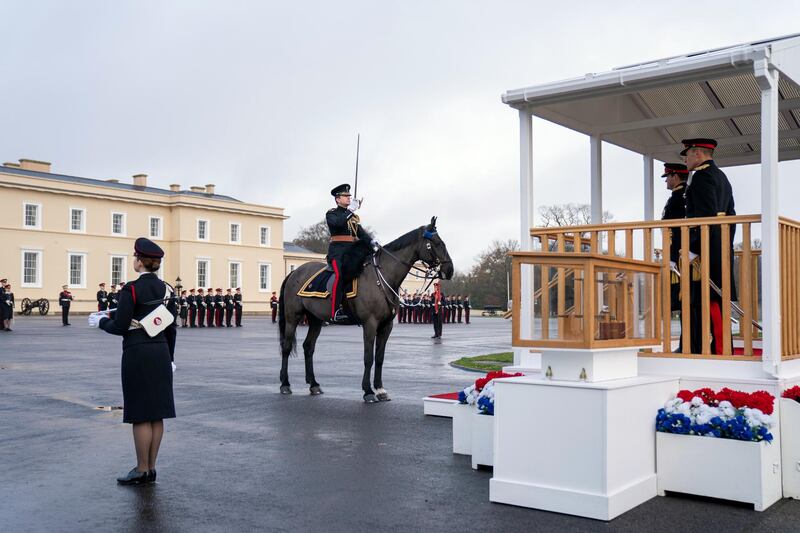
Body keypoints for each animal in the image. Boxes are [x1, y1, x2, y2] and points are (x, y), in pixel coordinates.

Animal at [278, 216, 454, 400]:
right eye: (435, 243)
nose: (449, 270)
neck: (383, 279)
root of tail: (294, 272)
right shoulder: (370, 324)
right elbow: (368, 357)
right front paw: (368, 391)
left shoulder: (386, 326)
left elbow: (380, 357)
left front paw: (380, 389)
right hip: (292, 317)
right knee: (286, 347)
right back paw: (285, 384)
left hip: (315, 319)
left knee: (308, 347)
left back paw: (313, 384)